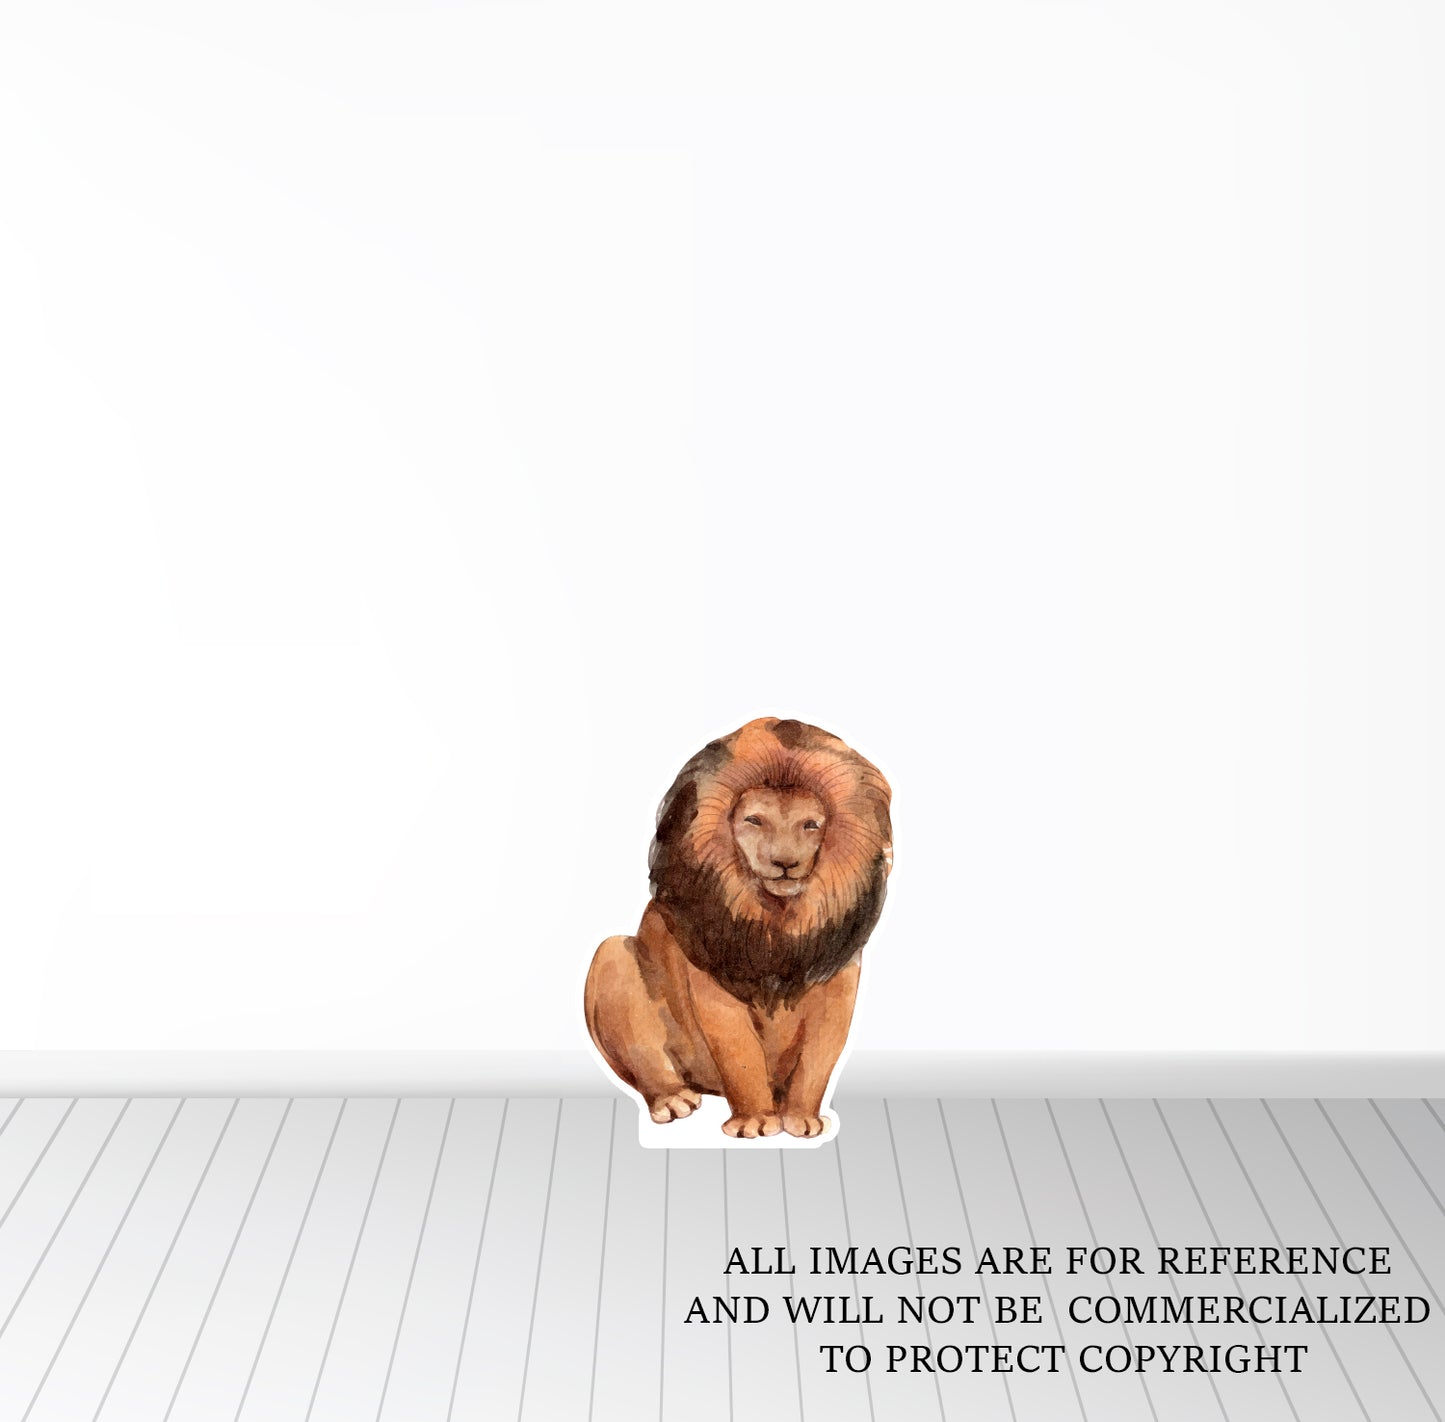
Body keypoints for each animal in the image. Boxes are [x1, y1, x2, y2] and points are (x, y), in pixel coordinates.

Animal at [584, 717, 892, 1139]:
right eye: (753, 820)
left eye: (811, 825)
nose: (785, 863)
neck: (777, 921)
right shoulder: (713, 977)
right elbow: (739, 1053)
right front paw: (756, 1122)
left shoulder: (838, 980)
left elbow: (818, 1058)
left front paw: (802, 1119)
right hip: (610, 955)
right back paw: (672, 1100)